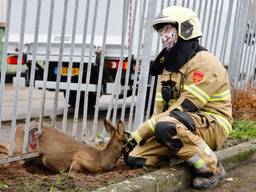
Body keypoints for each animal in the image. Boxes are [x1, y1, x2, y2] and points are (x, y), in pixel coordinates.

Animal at [0, 119, 128, 175]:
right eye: (125, 139)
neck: (101, 159)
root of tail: (18, 127)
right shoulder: (78, 159)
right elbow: (74, 171)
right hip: (18, 148)